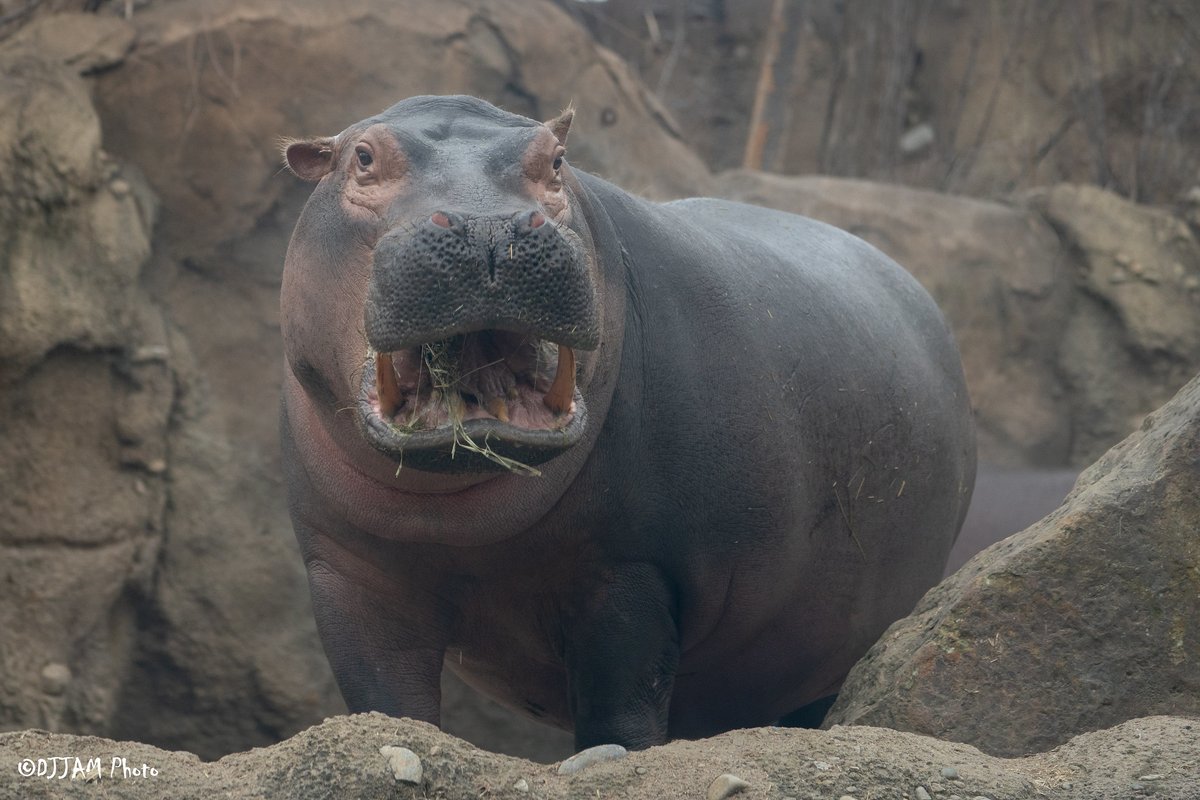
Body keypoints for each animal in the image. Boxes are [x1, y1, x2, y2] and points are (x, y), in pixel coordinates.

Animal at [279, 95, 976, 751]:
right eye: (362, 157)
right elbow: (386, 701)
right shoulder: (347, 575)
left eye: (557, 160)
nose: (487, 226)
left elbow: (621, 704)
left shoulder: (629, 567)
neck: (460, 518)